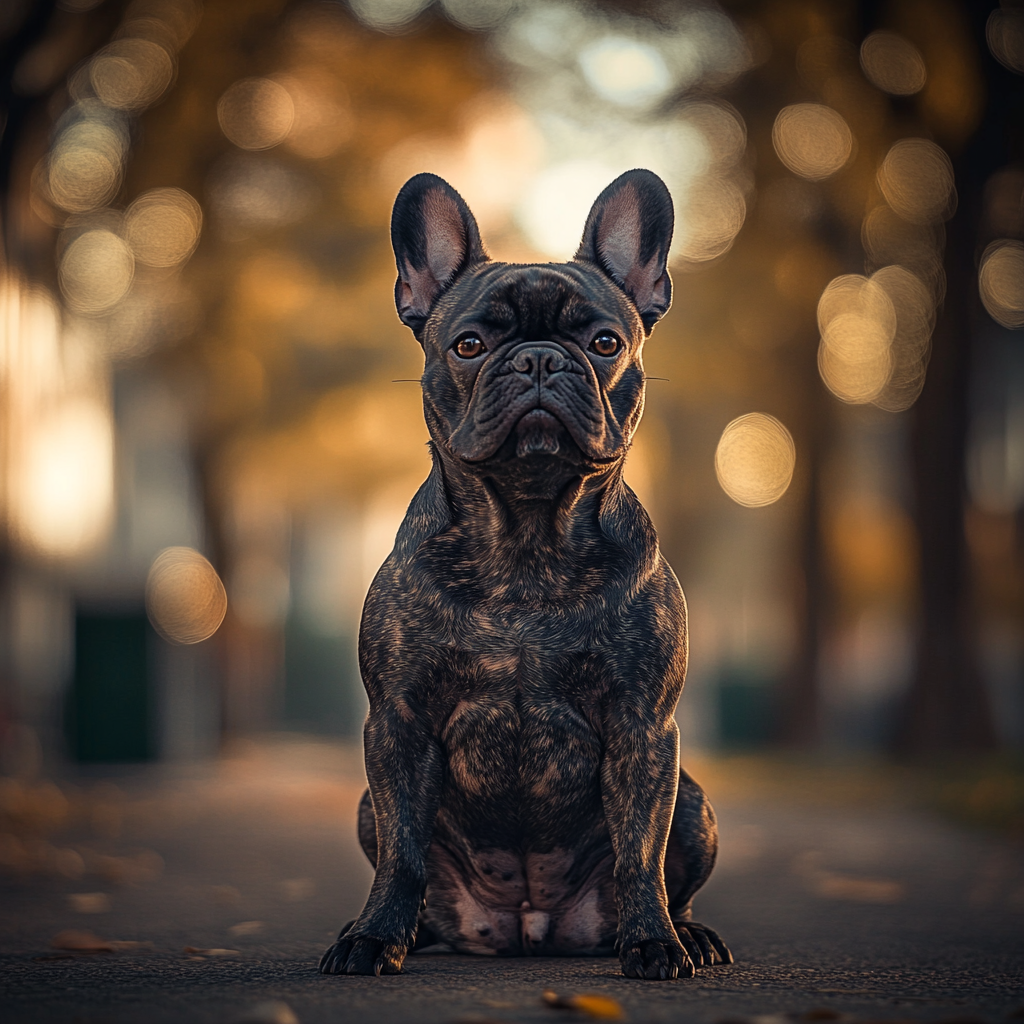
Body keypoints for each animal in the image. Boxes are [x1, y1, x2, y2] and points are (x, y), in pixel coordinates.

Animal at [317, 167, 729, 983]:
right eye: (470, 344)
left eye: (605, 342)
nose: (539, 358)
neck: (529, 536)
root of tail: (528, 927)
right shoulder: (399, 725)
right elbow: (403, 854)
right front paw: (374, 938)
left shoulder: (643, 727)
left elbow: (641, 853)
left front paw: (655, 943)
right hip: (366, 806)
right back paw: (397, 929)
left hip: (695, 799)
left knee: (672, 871)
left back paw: (689, 932)